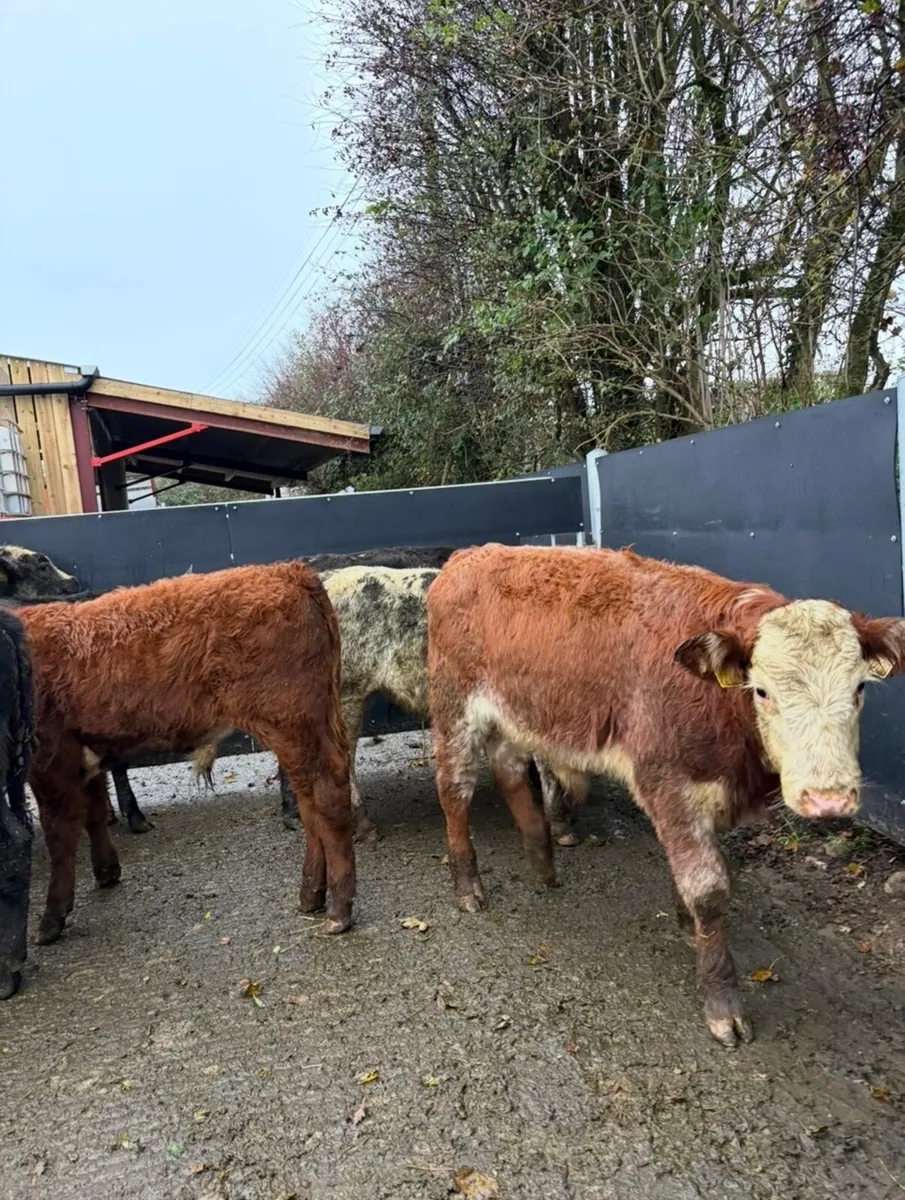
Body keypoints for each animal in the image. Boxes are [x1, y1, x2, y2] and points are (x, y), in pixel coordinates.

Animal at [18, 562, 354, 947]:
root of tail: (287, 571)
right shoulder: (84, 756)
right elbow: (95, 810)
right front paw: (106, 871)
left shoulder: (49, 760)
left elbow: (60, 834)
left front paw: (50, 920)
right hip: (301, 727)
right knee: (308, 801)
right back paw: (311, 894)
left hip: (291, 720)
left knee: (327, 793)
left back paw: (338, 911)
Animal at [426, 543, 905, 1047]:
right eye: (762, 691)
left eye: (859, 688)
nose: (828, 798)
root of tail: (468, 556)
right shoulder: (667, 782)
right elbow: (708, 888)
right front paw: (721, 1000)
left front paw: (688, 927)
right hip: (454, 709)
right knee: (455, 790)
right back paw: (467, 885)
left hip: (512, 716)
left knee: (511, 771)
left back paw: (542, 860)